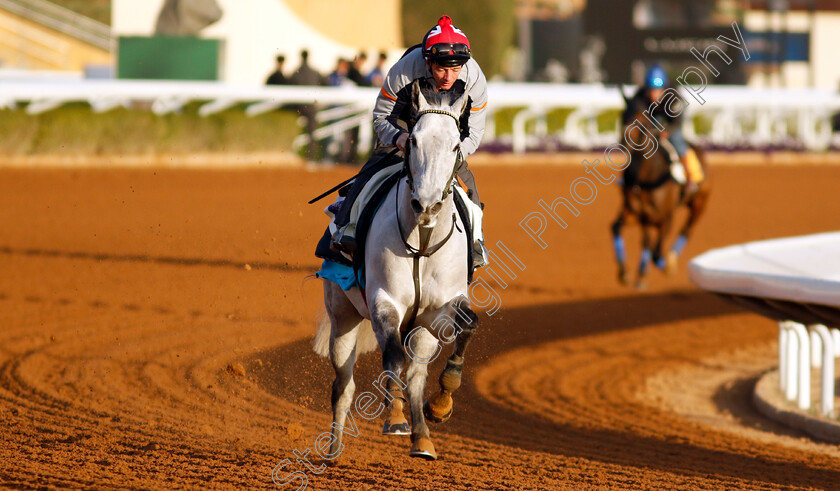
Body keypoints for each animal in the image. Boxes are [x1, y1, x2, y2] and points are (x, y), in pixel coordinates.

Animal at [608, 115, 712, 288]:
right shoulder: (638, 214)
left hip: (700, 202)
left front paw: (662, 266)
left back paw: (671, 260)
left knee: (687, 229)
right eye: (624, 113)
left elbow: (655, 251)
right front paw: (626, 274)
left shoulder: (665, 217)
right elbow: (621, 229)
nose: (624, 140)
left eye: (641, 123)